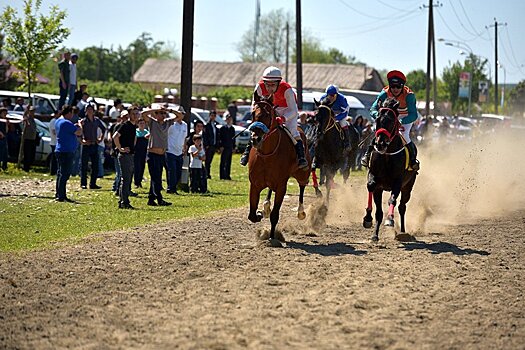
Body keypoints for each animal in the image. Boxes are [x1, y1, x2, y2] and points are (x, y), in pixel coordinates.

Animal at [247, 98, 310, 246]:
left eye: (267, 114)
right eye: (253, 113)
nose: (255, 139)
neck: (267, 154)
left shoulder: (282, 186)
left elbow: (275, 215)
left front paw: (272, 237)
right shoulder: (255, 185)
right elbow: (252, 215)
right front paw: (260, 214)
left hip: (302, 173)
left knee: (302, 185)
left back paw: (300, 212)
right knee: (270, 190)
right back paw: (266, 206)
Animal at [360, 97, 418, 242]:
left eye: (391, 121)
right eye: (377, 120)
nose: (380, 144)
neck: (386, 154)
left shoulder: (398, 182)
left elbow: (392, 200)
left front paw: (390, 219)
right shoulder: (376, 182)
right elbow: (377, 208)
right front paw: (370, 225)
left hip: (408, 187)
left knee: (402, 207)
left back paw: (402, 231)